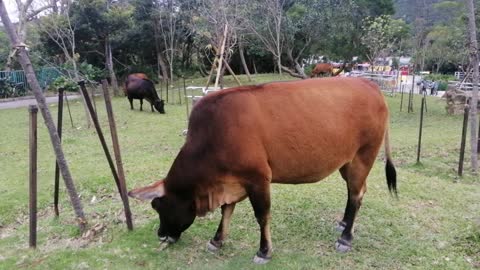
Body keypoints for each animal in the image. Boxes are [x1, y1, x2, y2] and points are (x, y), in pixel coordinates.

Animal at [128, 77, 398, 264]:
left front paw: (264, 251)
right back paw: (343, 223)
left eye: (158, 206)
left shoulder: (258, 178)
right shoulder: (231, 180)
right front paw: (217, 240)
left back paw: (345, 238)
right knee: (355, 191)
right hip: (346, 162)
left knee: (356, 194)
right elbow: (227, 210)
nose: (161, 234)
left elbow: (262, 215)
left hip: (363, 155)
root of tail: (370, 84)